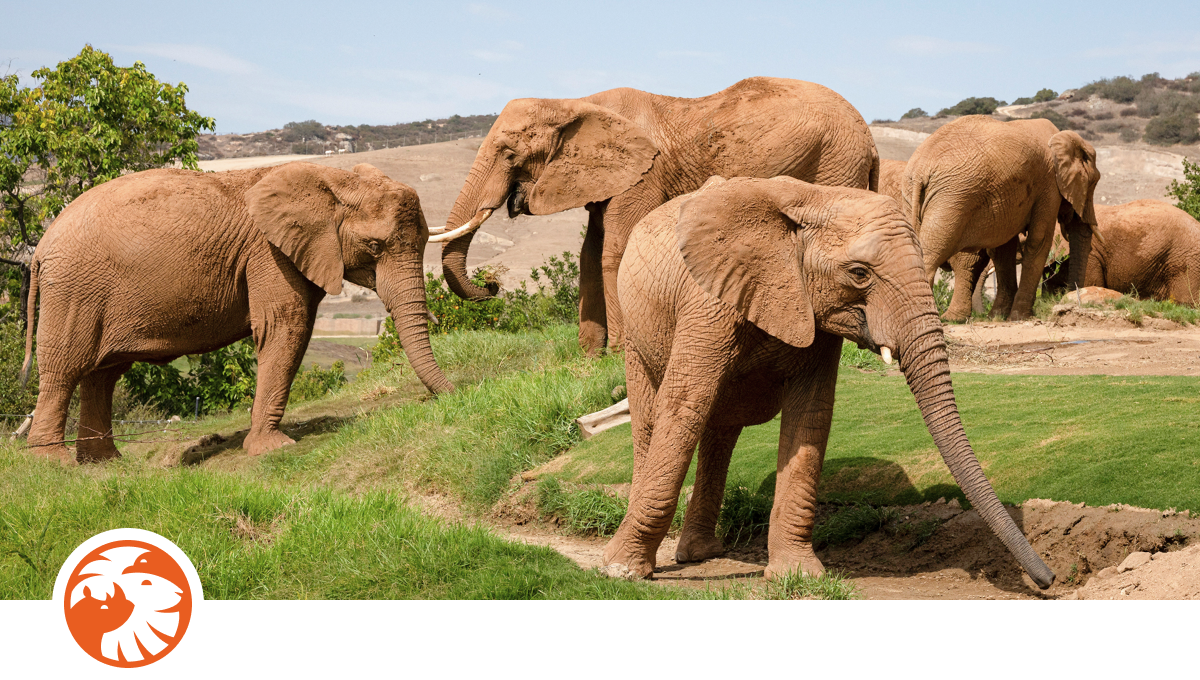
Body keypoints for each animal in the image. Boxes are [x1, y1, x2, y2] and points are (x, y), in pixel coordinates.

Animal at [22, 162, 452, 464]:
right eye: (375, 246)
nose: (455, 394)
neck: (334, 178)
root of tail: (41, 248)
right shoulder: (269, 252)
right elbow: (286, 327)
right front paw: (275, 449)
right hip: (76, 289)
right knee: (66, 367)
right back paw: (54, 463)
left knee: (103, 374)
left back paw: (105, 463)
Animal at [438, 77, 879, 355]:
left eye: (509, 154)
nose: (492, 284)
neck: (574, 102)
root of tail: (869, 136)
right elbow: (588, 255)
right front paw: (588, 358)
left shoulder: (644, 175)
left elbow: (613, 251)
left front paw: (617, 353)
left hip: (836, 160)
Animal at [605, 174, 1055, 589]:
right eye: (858, 273)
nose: (1048, 580)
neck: (812, 199)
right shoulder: (709, 301)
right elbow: (684, 406)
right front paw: (621, 572)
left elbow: (811, 415)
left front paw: (798, 576)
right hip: (637, 331)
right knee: (652, 421)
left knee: (721, 431)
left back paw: (702, 553)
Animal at [901, 115, 1100, 321]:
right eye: (1094, 182)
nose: (1068, 297)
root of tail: (920, 172)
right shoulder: (1049, 185)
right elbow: (1038, 241)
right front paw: (1021, 317)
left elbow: (1003, 249)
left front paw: (998, 316)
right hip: (951, 198)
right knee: (931, 256)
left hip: (915, 195)